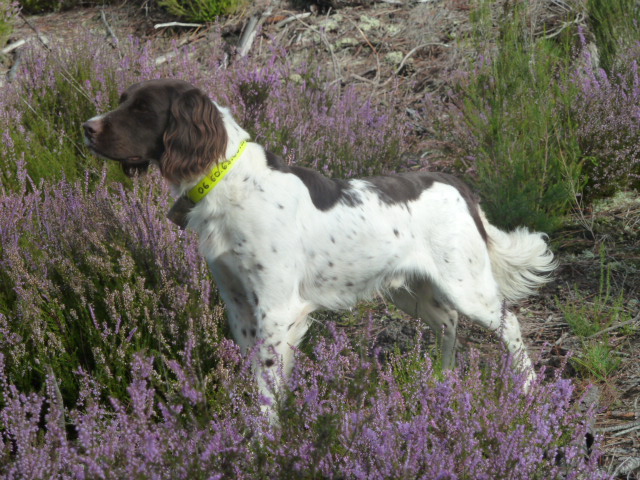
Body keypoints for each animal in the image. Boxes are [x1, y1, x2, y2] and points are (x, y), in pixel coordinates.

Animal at [83, 78, 556, 403]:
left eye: (143, 108)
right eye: (123, 99)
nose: (86, 128)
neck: (230, 182)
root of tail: (454, 181)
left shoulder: (276, 309)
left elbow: (267, 388)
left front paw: (264, 446)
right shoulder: (239, 307)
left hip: (467, 285)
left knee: (509, 323)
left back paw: (528, 389)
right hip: (412, 290)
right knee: (448, 324)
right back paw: (442, 382)